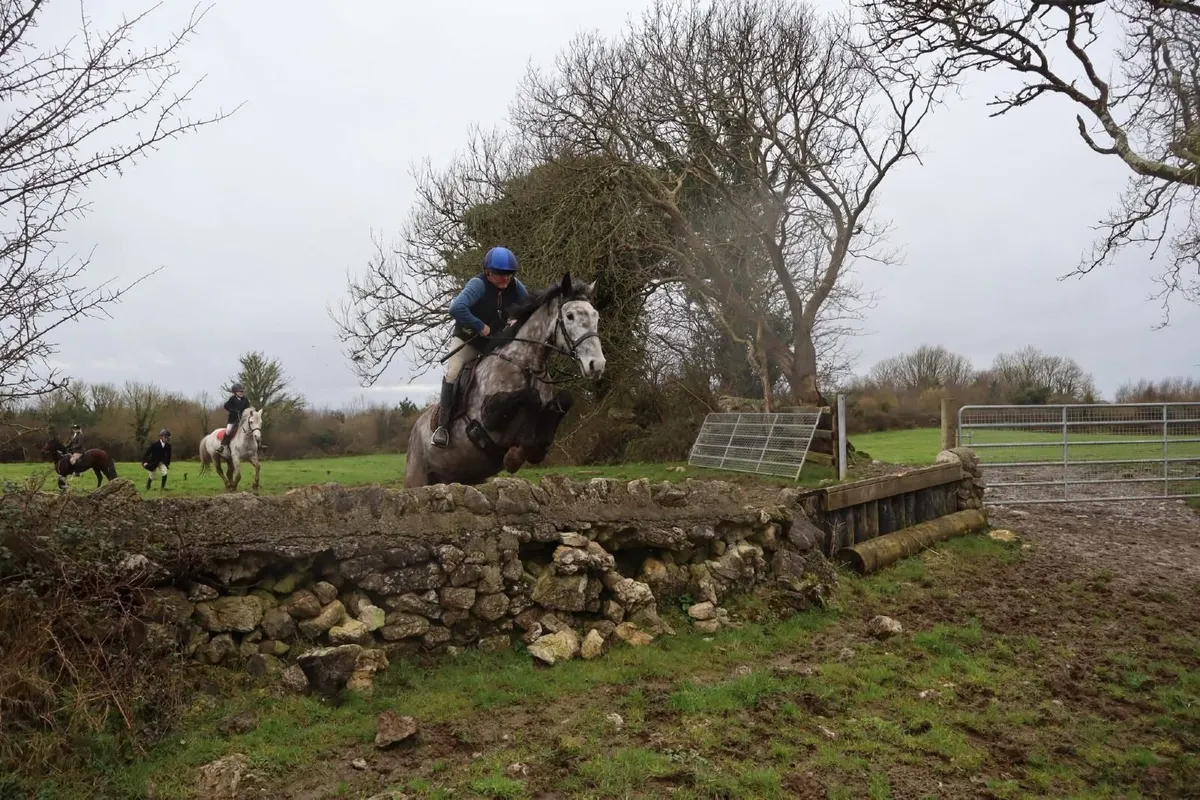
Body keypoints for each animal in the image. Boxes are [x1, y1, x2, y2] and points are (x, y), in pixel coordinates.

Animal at [404, 271, 606, 488]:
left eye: (596, 316)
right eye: (570, 316)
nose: (597, 364)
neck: (527, 365)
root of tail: (414, 431)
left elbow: (564, 400)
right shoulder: (488, 416)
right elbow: (531, 397)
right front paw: (513, 458)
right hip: (417, 478)